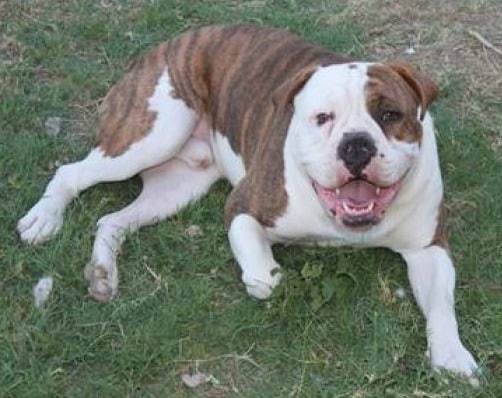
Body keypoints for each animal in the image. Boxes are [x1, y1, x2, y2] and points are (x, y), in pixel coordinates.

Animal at [16, 25, 478, 382]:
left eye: (389, 115)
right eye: (323, 118)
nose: (356, 145)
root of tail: (164, 45)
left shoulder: (428, 249)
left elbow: (442, 305)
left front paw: (452, 357)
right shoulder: (243, 208)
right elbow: (265, 277)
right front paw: (269, 277)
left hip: (178, 185)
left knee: (113, 220)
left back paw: (102, 273)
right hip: (148, 138)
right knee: (71, 173)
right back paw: (43, 219)